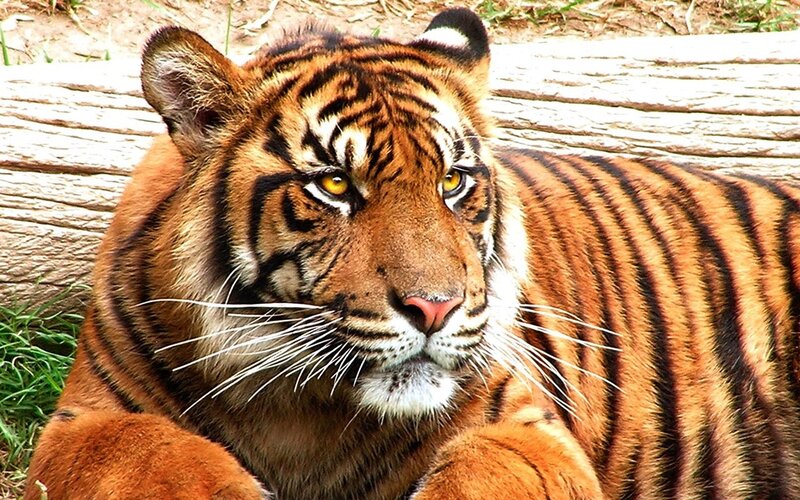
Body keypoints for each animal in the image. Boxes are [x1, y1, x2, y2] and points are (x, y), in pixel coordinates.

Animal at [25, 7, 800, 499]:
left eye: (453, 181)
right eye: (336, 184)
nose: (435, 308)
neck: (296, 409)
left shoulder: (526, 432)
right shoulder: (86, 422)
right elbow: (157, 459)